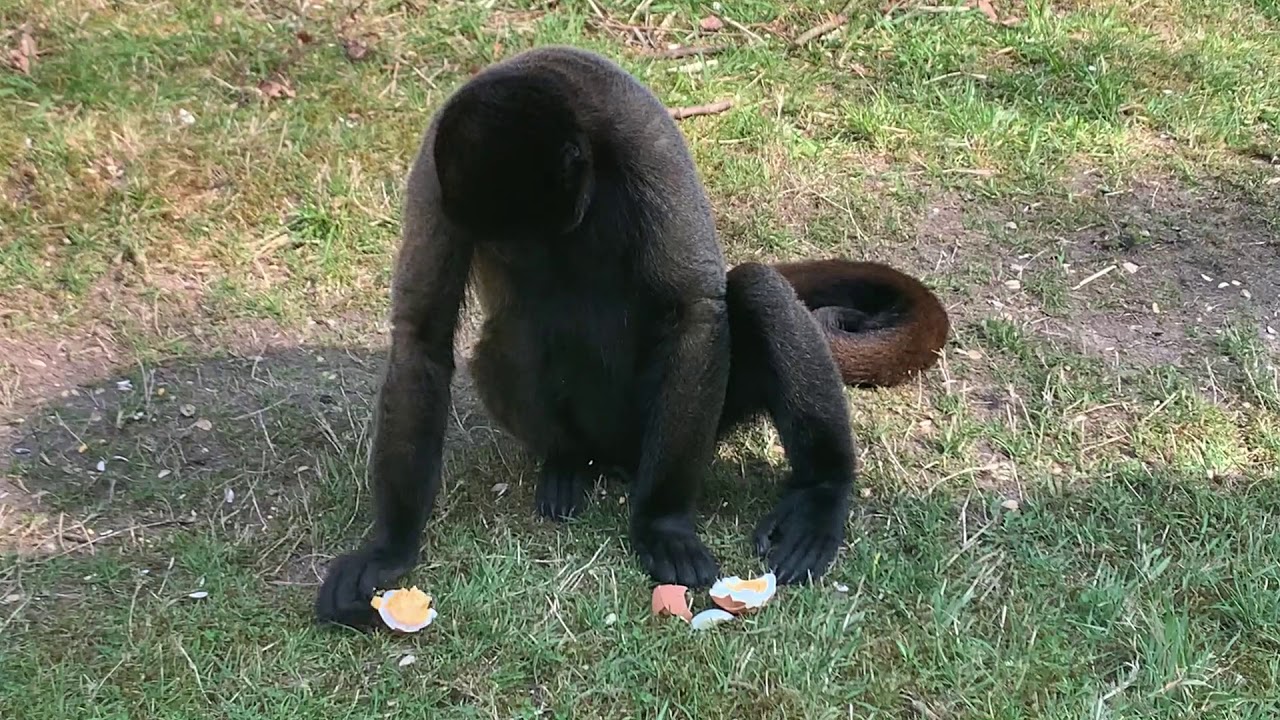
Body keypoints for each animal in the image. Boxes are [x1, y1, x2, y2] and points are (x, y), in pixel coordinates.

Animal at [314, 46, 948, 628]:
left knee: (757, 290)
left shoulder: (640, 131)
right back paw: (568, 461)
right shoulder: (435, 172)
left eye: (532, 231)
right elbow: (421, 335)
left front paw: (661, 523)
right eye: (502, 241)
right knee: (509, 337)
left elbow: (696, 309)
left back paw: (821, 490)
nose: (523, 255)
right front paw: (389, 547)